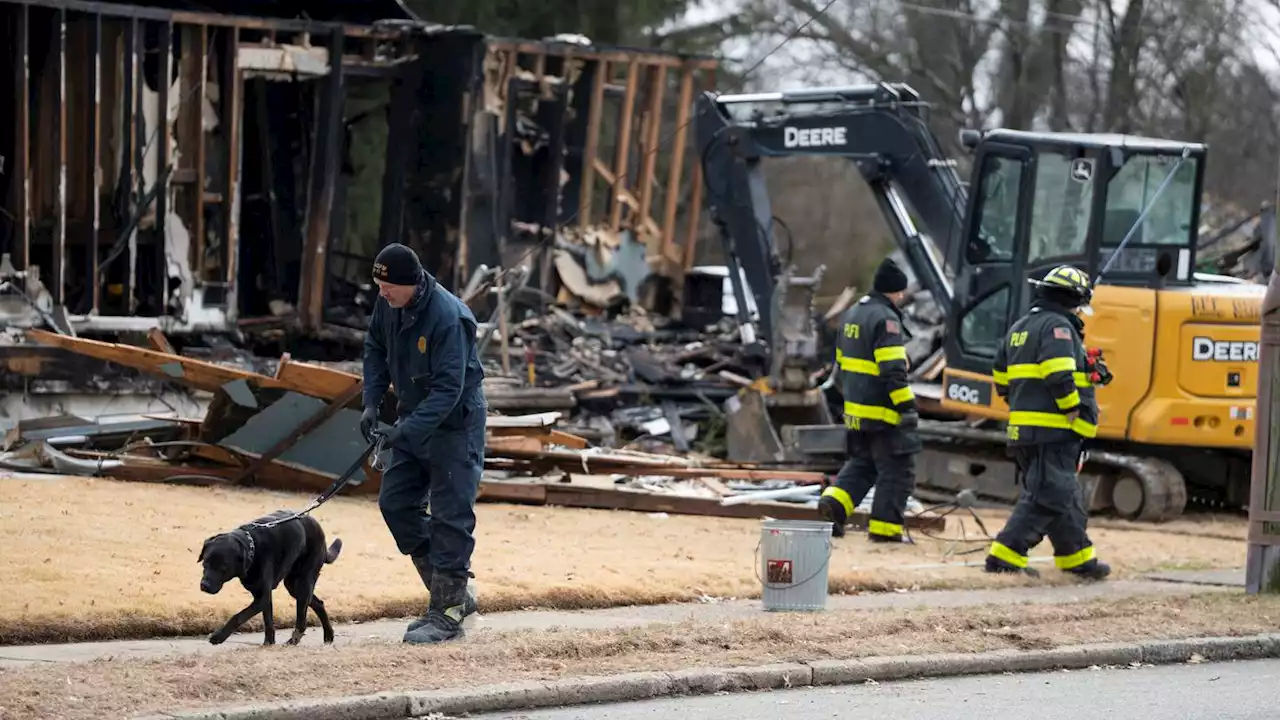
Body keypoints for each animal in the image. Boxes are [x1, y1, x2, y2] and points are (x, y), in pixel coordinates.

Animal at [197, 509, 343, 645]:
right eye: (205, 563)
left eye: (224, 568)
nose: (205, 585)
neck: (252, 548)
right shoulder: (262, 596)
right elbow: (268, 620)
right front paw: (269, 642)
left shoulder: (262, 597)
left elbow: (239, 616)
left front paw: (218, 636)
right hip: (293, 585)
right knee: (319, 603)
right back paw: (328, 636)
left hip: (303, 582)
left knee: (302, 619)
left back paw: (293, 641)